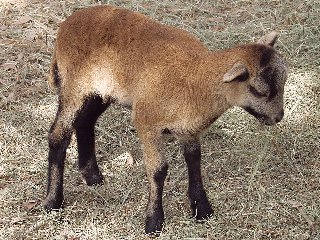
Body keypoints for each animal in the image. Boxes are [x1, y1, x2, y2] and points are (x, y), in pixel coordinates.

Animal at [43, 4, 288, 235]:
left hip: (100, 91)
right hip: (74, 85)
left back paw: (92, 176)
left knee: (85, 122)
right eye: (259, 91)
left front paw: (202, 210)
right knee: (58, 135)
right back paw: (53, 202)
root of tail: (68, 22)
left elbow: (194, 161)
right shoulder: (146, 123)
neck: (195, 79)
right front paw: (154, 221)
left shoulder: (189, 128)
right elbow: (158, 170)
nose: (278, 117)